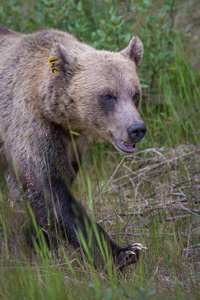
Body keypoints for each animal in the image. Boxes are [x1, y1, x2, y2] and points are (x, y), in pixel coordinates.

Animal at [0, 24, 147, 270]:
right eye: (108, 96)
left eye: (135, 94)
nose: (136, 129)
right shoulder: (29, 126)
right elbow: (49, 188)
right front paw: (123, 252)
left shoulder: (71, 142)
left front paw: (38, 238)